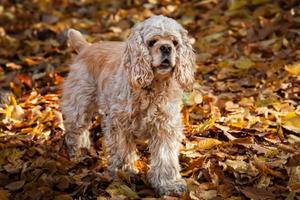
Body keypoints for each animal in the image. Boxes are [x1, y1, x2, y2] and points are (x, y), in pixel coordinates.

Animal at [62, 15, 196, 195]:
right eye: (152, 42)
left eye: (175, 42)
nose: (166, 48)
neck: (153, 87)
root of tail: (86, 47)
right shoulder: (118, 123)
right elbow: (122, 151)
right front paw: (124, 172)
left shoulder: (165, 126)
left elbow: (165, 157)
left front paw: (168, 184)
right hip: (79, 106)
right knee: (74, 133)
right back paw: (78, 156)